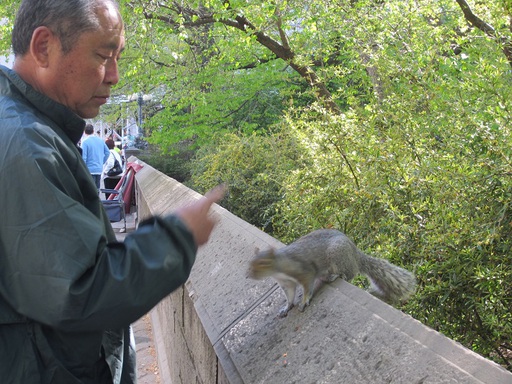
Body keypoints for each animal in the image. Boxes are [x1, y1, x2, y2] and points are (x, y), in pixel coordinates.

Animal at [248, 230, 416, 316]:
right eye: (249, 263)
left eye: (264, 263)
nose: (249, 275)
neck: (279, 268)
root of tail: (355, 255)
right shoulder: (287, 284)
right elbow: (289, 296)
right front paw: (286, 307)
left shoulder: (304, 272)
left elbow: (307, 287)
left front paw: (304, 301)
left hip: (337, 257)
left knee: (349, 274)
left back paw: (336, 276)